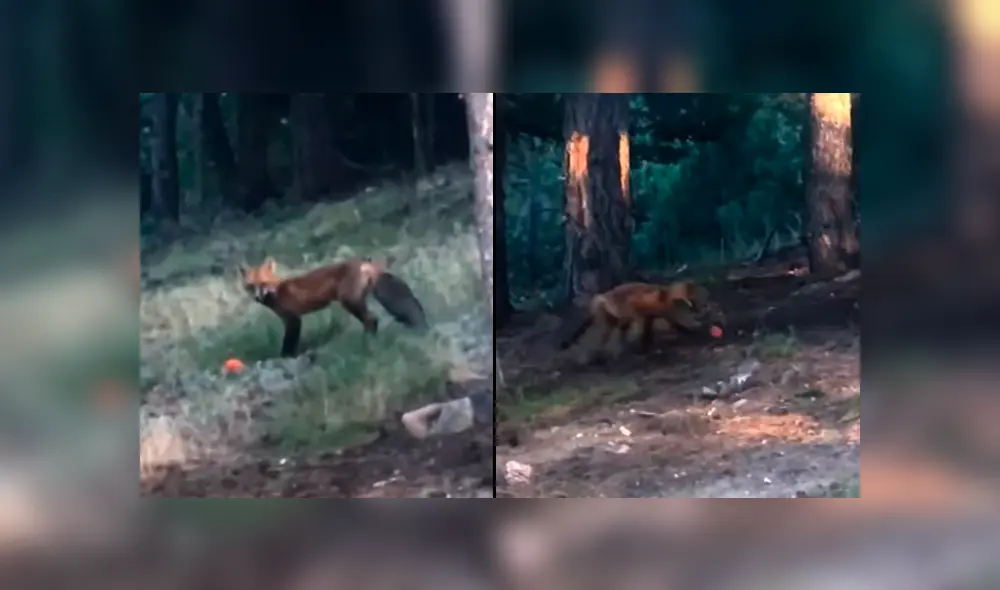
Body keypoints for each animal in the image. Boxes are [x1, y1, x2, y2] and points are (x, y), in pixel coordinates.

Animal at [240, 255, 428, 358]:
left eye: (263, 284)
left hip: (349, 302)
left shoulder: (293, 320)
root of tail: (366, 263)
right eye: (250, 286)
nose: (257, 297)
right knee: (371, 321)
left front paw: (285, 358)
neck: (278, 290)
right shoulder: (291, 320)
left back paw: (366, 342)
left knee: (372, 320)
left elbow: (289, 343)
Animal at [557, 281, 724, 357]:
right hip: (619, 317)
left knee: (618, 334)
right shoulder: (665, 315)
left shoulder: (650, 317)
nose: (711, 302)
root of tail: (603, 295)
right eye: (705, 295)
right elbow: (682, 327)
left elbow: (648, 333)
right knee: (610, 336)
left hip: (618, 320)